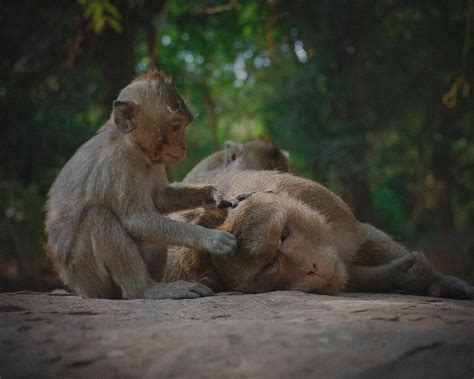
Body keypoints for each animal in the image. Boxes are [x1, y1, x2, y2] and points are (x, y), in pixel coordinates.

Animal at [43, 70, 241, 300]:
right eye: (175, 126)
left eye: (183, 125)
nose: (184, 146)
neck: (132, 144)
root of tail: (77, 287)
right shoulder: (120, 163)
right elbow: (136, 221)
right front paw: (211, 238)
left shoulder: (155, 161)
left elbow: (161, 199)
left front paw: (215, 194)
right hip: (88, 276)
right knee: (99, 216)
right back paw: (144, 289)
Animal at [164, 171, 474, 300]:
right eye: (270, 264)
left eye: (284, 234)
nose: (311, 267)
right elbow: (347, 275)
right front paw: (403, 276)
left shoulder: (322, 204)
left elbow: (364, 236)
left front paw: (439, 280)